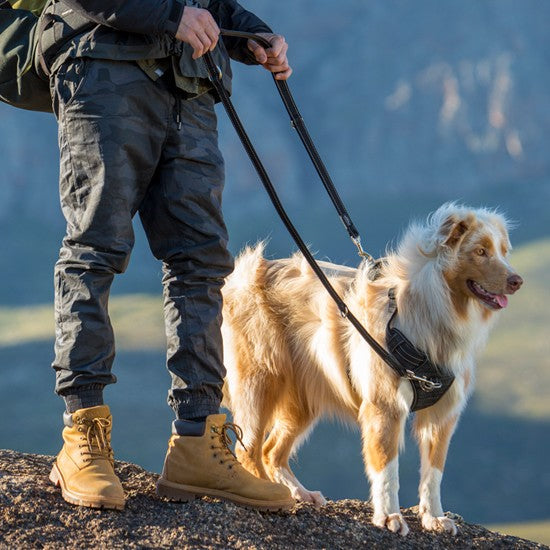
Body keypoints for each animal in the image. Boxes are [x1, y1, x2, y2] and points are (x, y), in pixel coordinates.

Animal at [222, 205, 524, 536]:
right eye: (480, 251)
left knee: (271, 450)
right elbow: (387, 469)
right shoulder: (385, 405)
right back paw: (266, 495)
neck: (437, 309)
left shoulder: (442, 414)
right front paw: (390, 517)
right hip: (262, 380)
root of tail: (238, 279)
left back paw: (300, 493)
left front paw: (433, 518)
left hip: (303, 397)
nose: (517, 281)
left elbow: (434, 472)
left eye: (504, 252)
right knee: (249, 450)